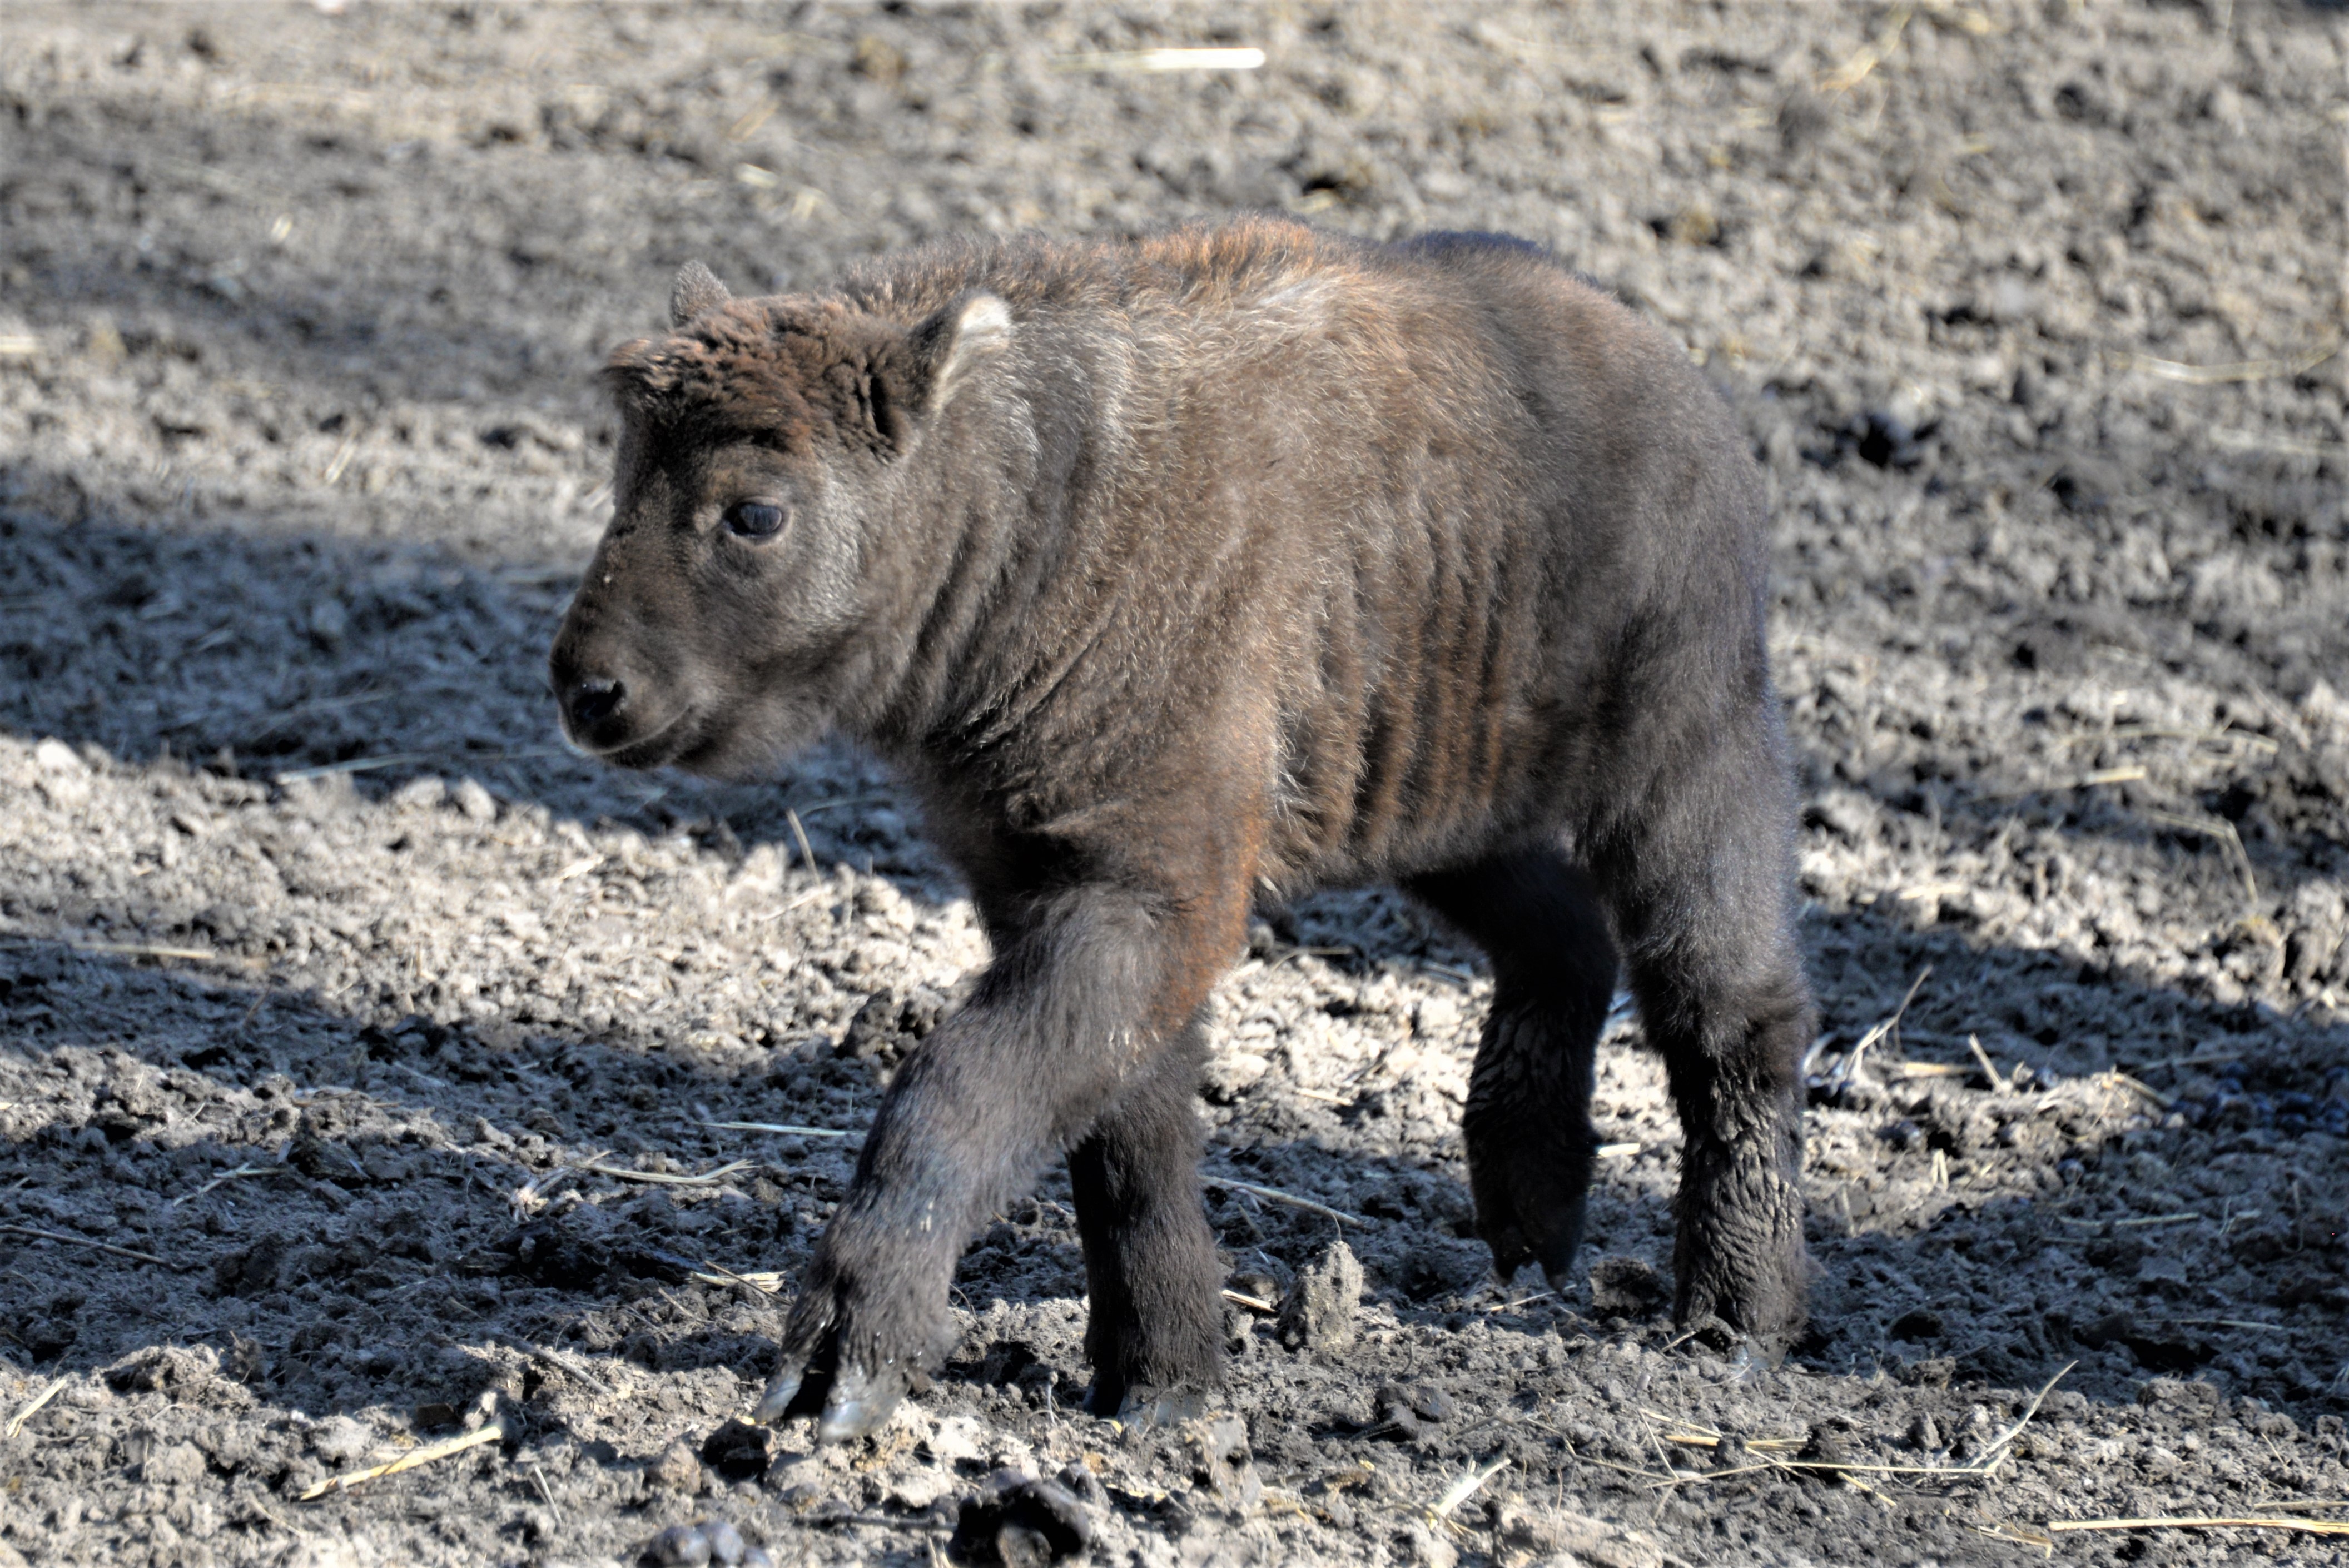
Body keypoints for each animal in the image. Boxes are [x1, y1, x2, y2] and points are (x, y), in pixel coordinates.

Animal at [549, 215, 1813, 1436]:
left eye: (755, 513)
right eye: (623, 480)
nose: (586, 690)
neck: (1037, 504)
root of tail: (1669, 368)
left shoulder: (1154, 893)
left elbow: (959, 1086)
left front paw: (837, 1368)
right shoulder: (1046, 890)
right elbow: (1127, 1140)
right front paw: (1160, 1387)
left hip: (1685, 761)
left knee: (1731, 1011)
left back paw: (1735, 1325)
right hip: (1446, 816)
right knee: (1562, 938)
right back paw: (1531, 1219)